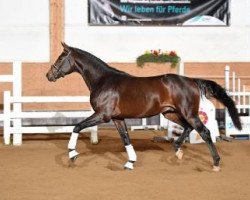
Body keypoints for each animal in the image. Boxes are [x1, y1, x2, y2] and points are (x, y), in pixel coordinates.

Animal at [46, 43, 241, 171]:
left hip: (189, 113)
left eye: (61, 57)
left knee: (205, 132)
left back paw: (215, 163)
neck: (103, 80)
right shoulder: (117, 118)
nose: (49, 75)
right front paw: (130, 162)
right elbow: (125, 138)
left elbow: (77, 127)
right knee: (187, 128)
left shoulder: (103, 115)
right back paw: (177, 150)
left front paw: (72, 154)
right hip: (171, 113)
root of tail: (191, 80)